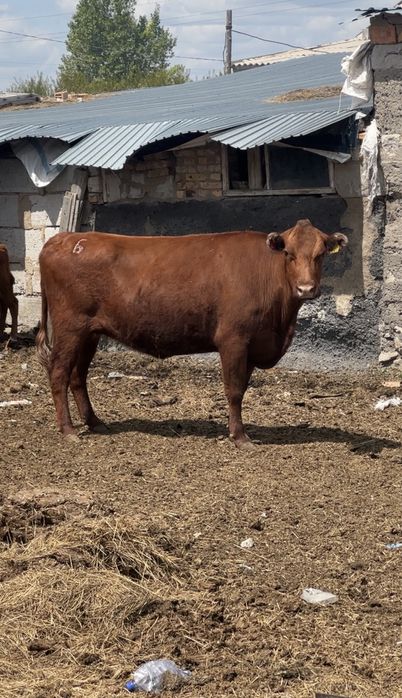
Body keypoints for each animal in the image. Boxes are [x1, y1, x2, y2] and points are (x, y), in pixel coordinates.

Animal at [36, 220, 348, 447]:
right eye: (288, 254)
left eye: (320, 254)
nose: (306, 289)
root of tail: (63, 239)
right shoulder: (233, 340)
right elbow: (234, 390)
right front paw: (239, 437)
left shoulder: (252, 345)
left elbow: (242, 388)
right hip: (70, 327)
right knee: (59, 372)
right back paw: (68, 429)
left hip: (90, 333)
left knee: (78, 376)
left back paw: (95, 422)